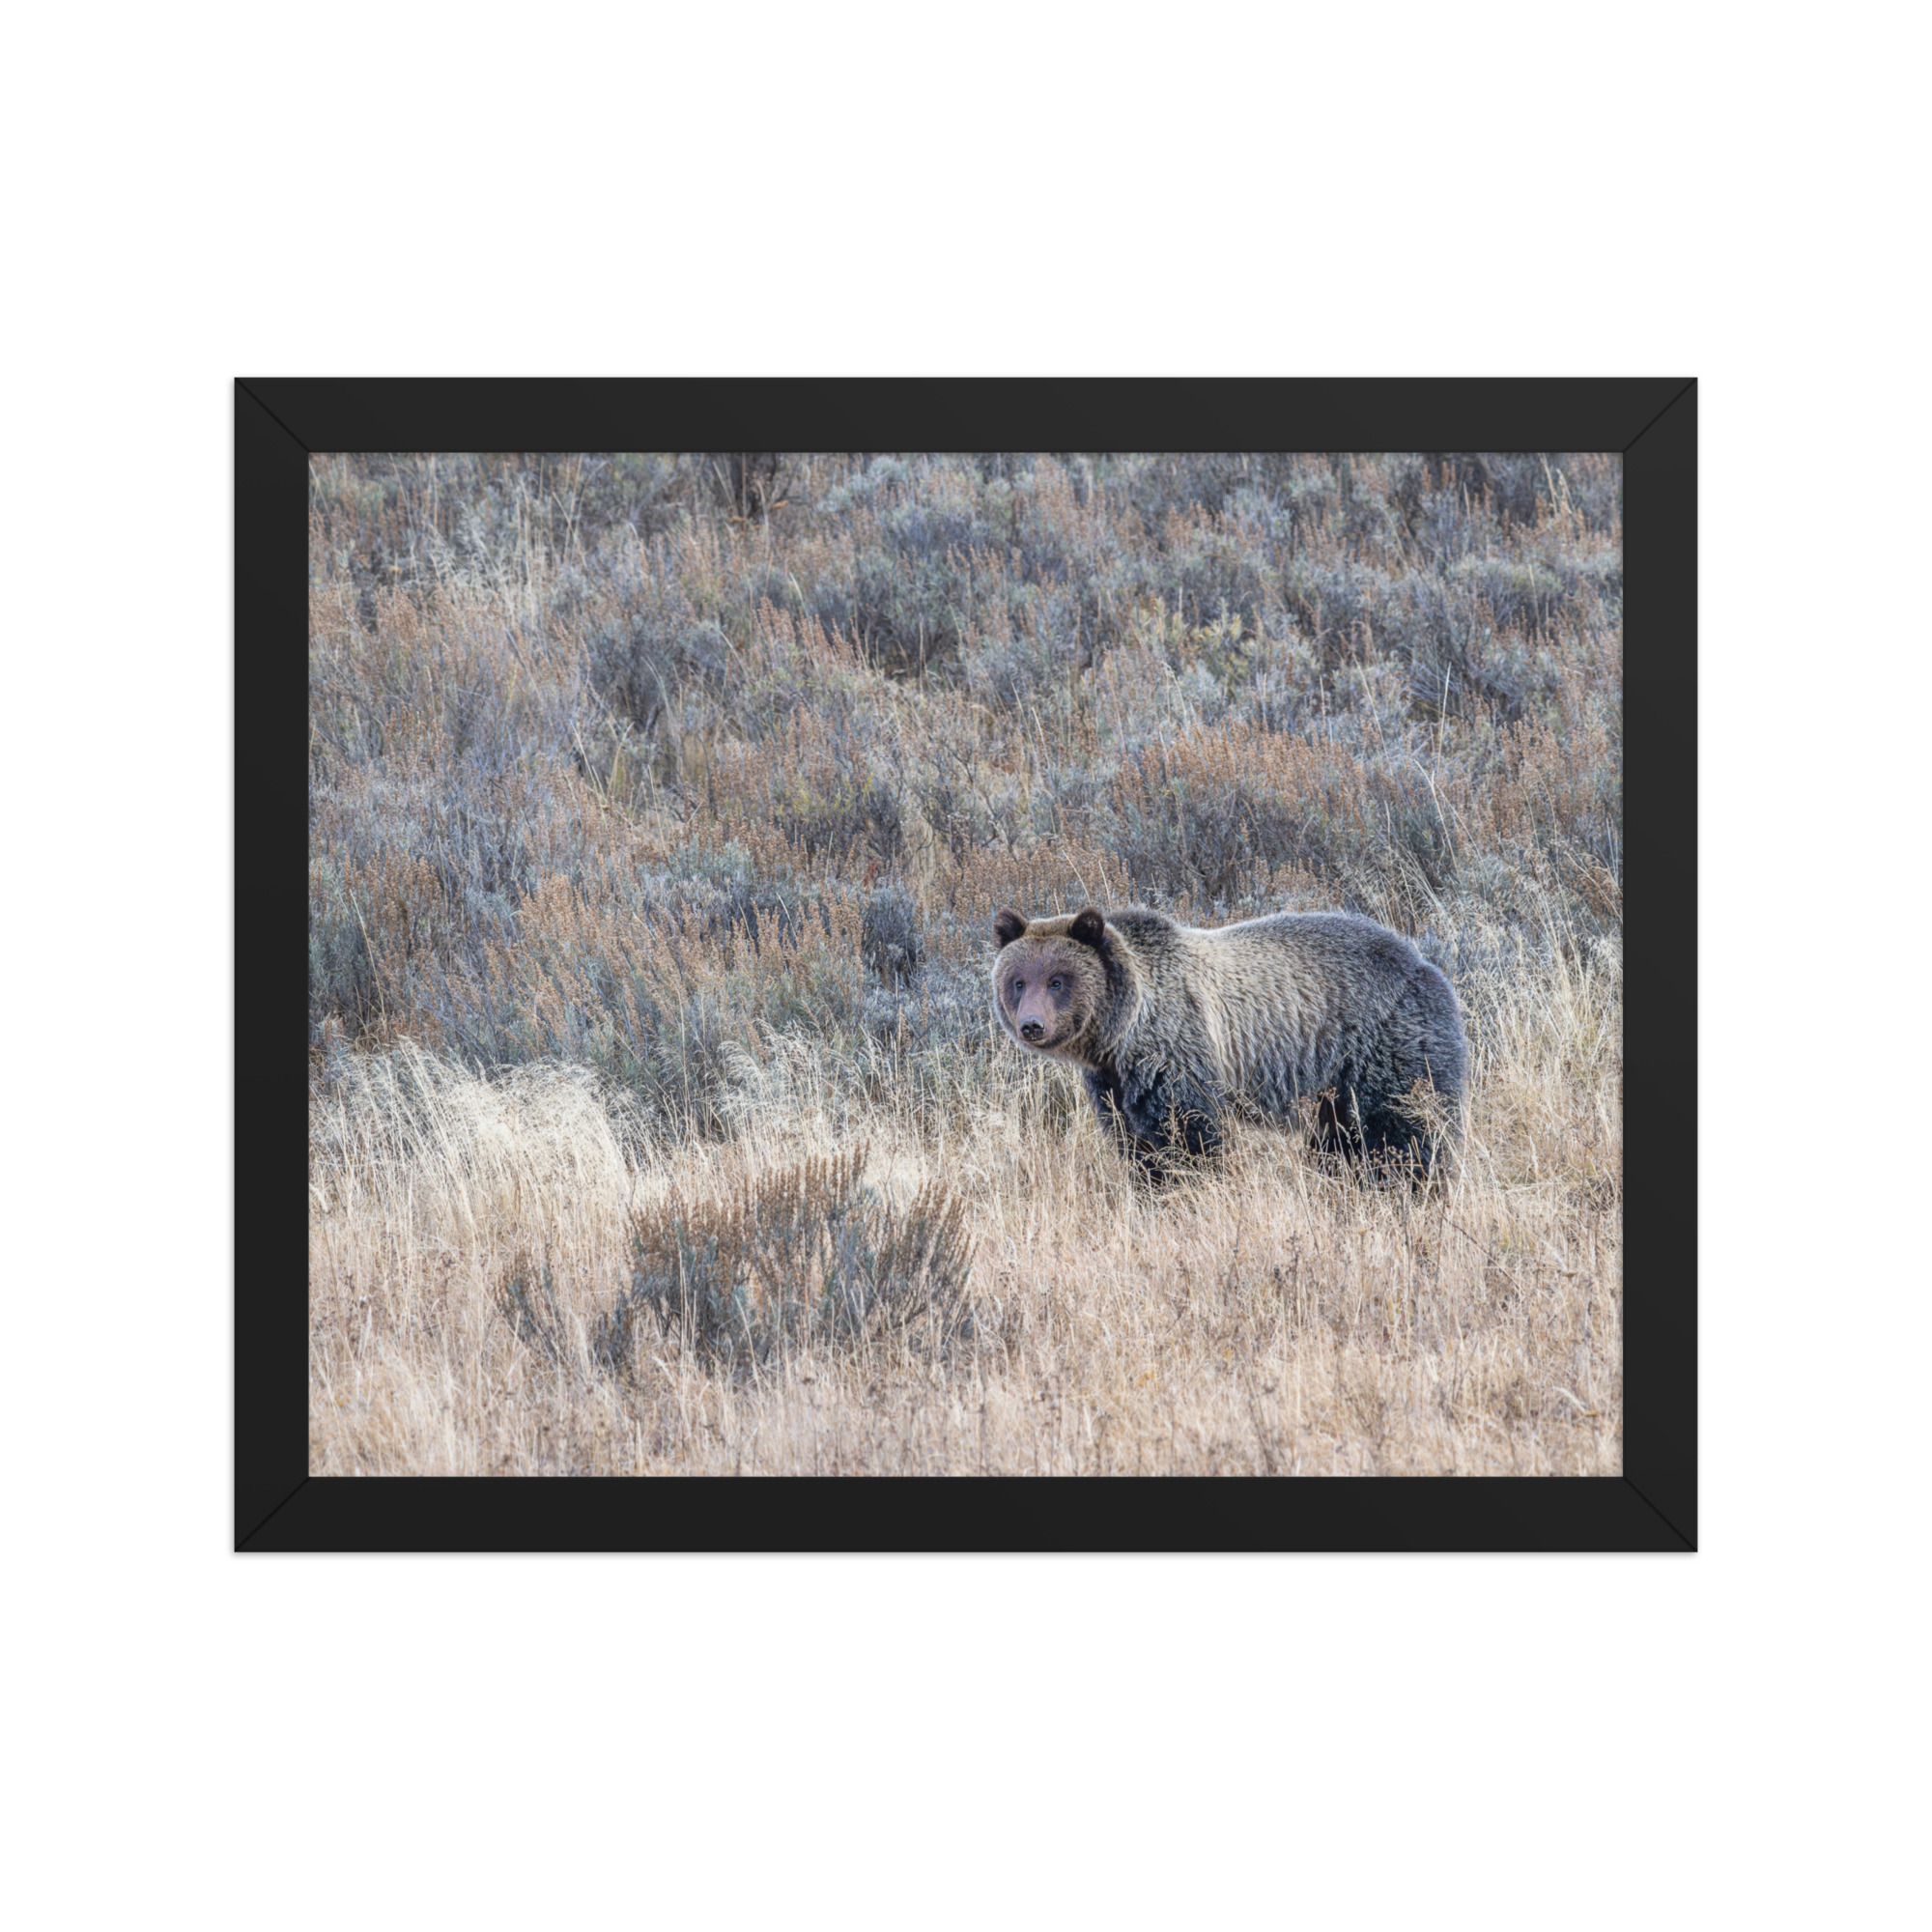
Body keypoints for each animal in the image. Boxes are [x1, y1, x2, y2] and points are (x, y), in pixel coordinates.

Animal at [990, 903, 1466, 1178]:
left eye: (1057, 980)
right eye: (1018, 981)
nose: (1032, 1025)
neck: (1121, 1034)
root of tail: (1425, 963)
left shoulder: (1176, 1052)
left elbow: (1189, 1136)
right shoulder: (1112, 1083)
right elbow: (1134, 1142)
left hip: (1384, 1045)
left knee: (1404, 1129)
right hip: (1334, 1087)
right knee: (1339, 1142)